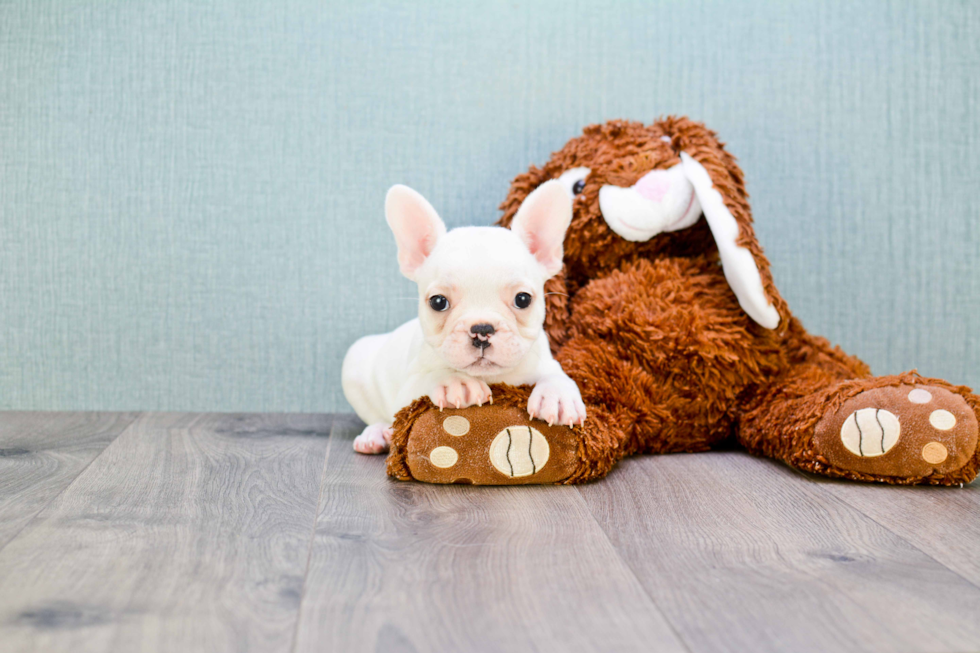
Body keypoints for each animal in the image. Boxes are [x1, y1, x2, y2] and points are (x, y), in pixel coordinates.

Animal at [340, 180, 584, 454]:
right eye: (438, 302)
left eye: (523, 299)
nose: (482, 329)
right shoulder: (405, 393)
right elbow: (428, 378)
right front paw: (456, 381)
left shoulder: (544, 361)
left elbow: (557, 374)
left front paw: (558, 396)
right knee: (377, 416)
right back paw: (376, 434)